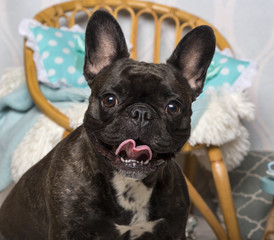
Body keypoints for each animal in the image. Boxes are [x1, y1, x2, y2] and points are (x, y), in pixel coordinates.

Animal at [0, 9, 215, 240]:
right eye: (109, 99)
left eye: (173, 107)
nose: (141, 112)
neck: (129, 185)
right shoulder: (67, 231)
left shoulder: (173, 230)